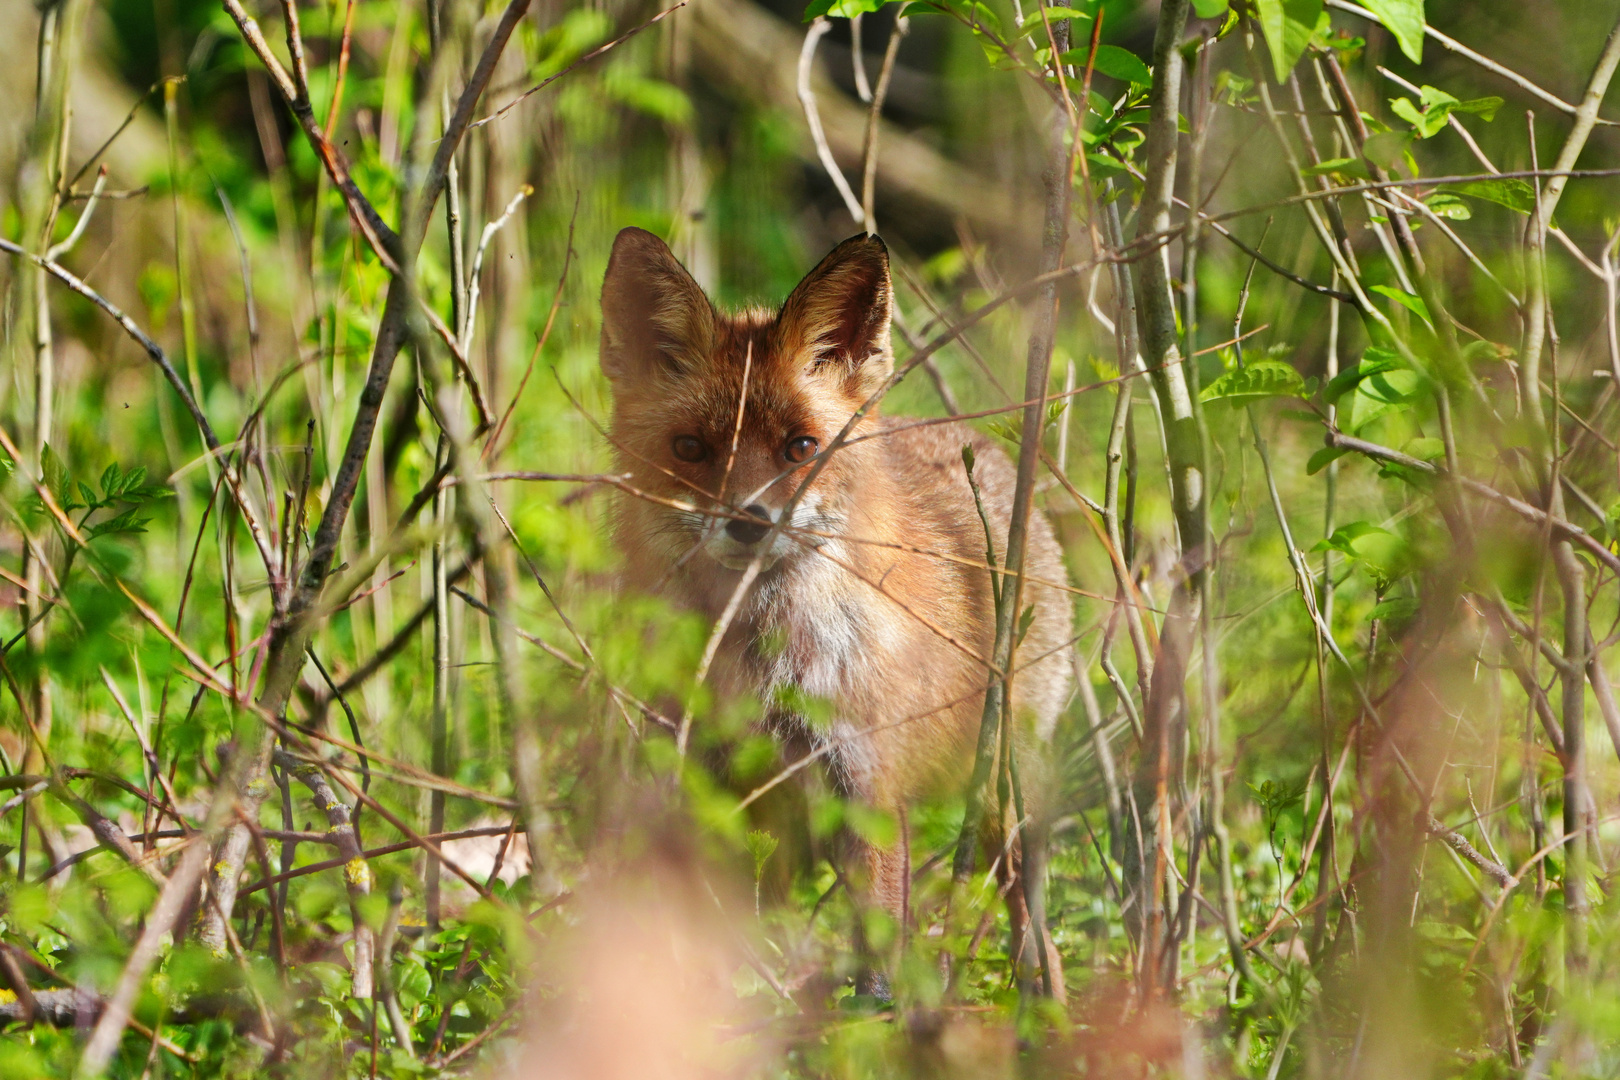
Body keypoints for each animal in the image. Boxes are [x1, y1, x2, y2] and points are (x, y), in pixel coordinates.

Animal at [602, 228, 1069, 997]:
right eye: (691, 449)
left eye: (802, 448)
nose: (748, 523)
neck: (762, 669)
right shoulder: (707, 779)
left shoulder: (866, 781)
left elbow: (879, 955)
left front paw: (877, 1017)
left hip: (1004, 791)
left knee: (1033, 920)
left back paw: (1044, 1002)